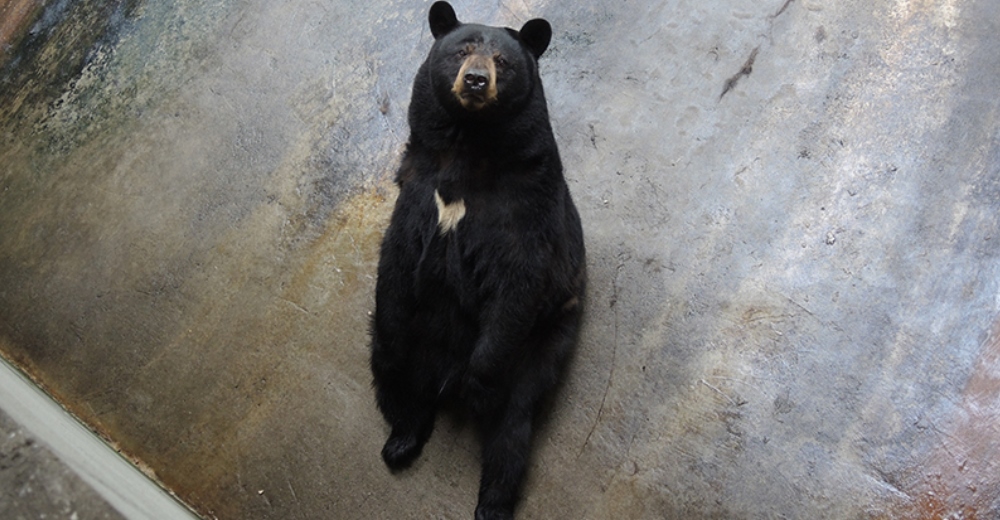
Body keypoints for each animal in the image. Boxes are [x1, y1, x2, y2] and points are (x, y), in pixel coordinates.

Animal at [372, 2, 584, 516]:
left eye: (502, 62)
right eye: (462, 49)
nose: (474, 80)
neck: (467, 145)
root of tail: (439, 376)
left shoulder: (525, 202)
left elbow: (517, 279)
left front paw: (478, 383)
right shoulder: (417, 187)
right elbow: (397, 256)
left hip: (546, 340)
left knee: (513, 426)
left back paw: (492, 500)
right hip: (410, 343)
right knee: (394, 380)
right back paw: (401, 440)